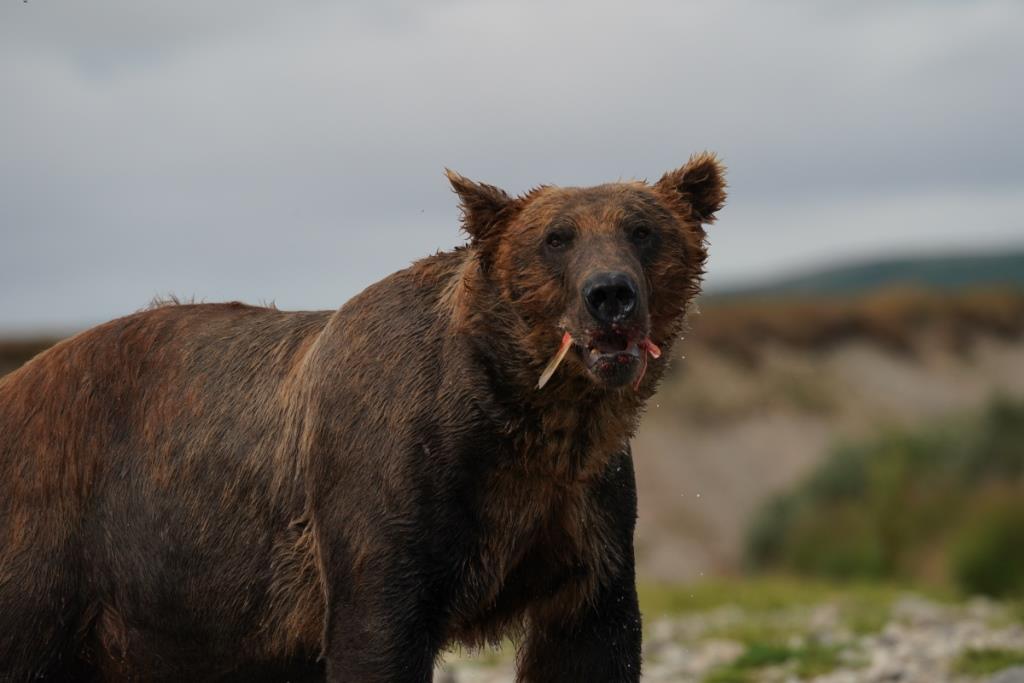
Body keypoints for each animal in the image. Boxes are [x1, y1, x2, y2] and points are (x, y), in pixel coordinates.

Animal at [0, 152, 724, 679]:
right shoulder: (385, 489)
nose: (611, 294)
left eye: (643, 230)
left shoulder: (582, 513)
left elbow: (590, 638)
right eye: (556, 238)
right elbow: (377, 633)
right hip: (62, 539)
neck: (519, 419)